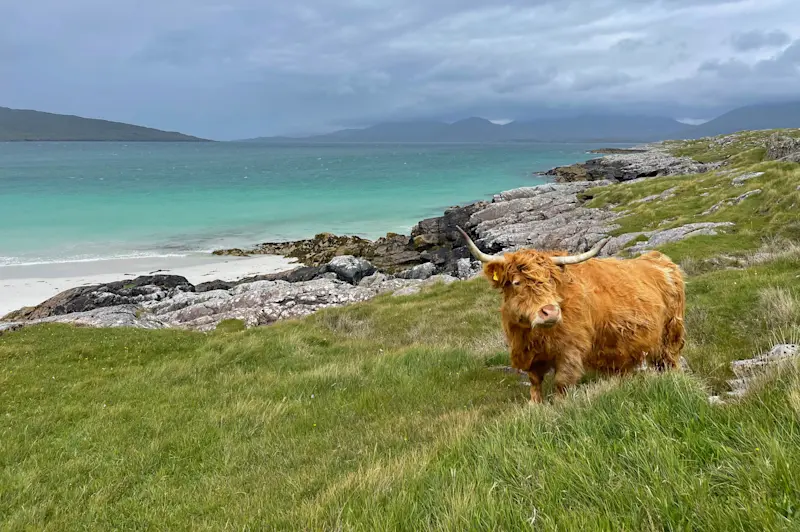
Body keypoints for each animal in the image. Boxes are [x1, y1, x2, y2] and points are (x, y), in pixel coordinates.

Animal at [457, 227, 686, 403]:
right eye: (516, 282)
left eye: (551, 281)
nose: (550, 312)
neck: (536, 335)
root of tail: (659, 258)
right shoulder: (529, 353)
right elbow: (535, 383)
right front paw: (535, 405)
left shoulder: (570, 351)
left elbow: (561, 384)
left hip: (671, 334)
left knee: (671, 361)